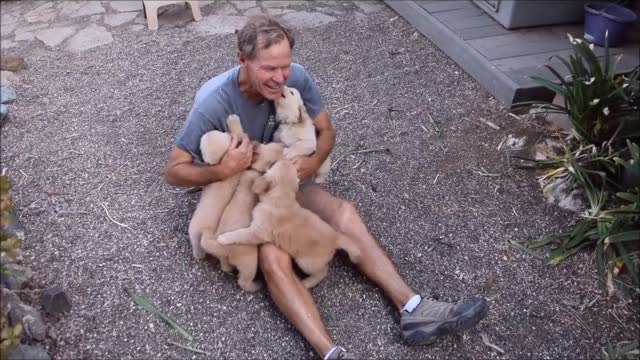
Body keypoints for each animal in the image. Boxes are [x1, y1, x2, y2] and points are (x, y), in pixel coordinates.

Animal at [216, 159, 360, 288]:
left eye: (274, 164)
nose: (279, 158)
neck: (281, 200)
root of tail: (335, 237)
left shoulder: (257, 232)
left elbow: (239, 234)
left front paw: (223, 238)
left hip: (306, 263)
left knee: (322, 273)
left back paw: (307, 283)